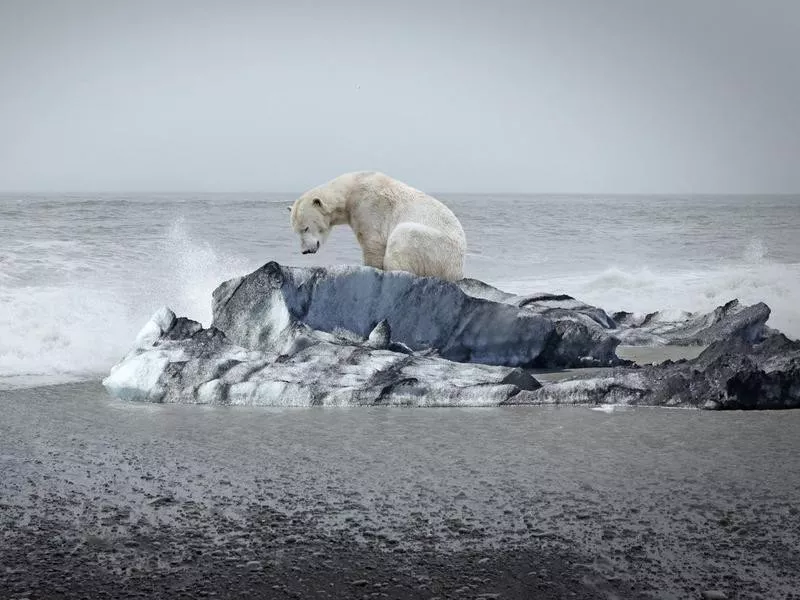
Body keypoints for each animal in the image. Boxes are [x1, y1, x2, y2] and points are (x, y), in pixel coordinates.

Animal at [290, 169, 468, 282]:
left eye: (306, 227)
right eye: (296, 231)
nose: (305, 251)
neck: (352, 189)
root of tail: (458, 270)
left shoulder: (368, 207)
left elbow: (372, 244)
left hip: (437, 247)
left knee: (403, 236)